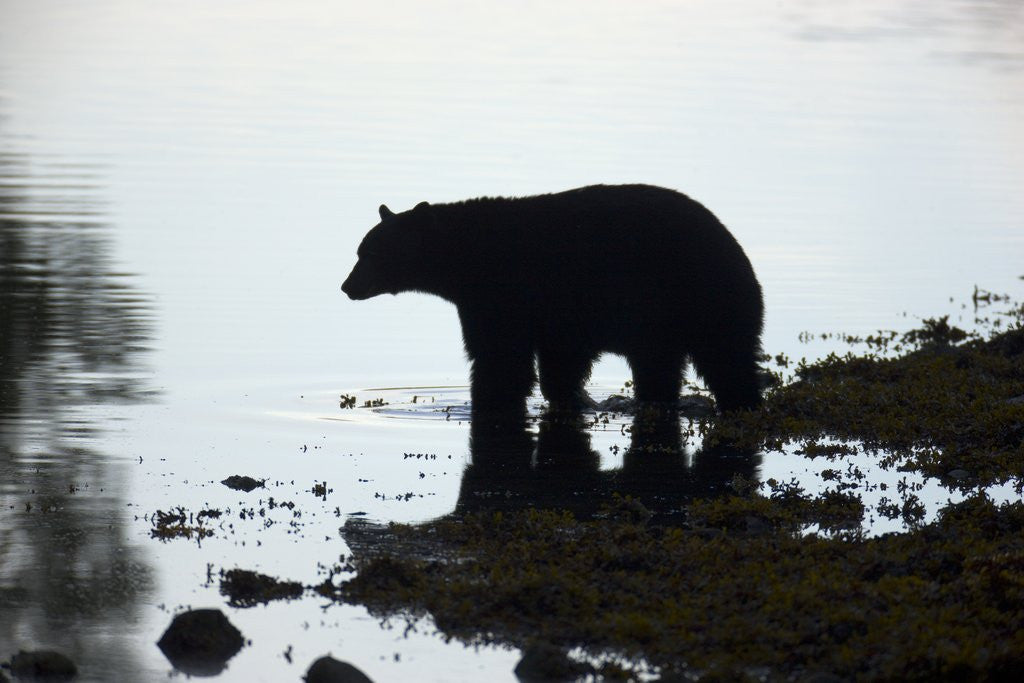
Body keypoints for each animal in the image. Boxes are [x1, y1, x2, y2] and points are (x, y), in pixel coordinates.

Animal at [341, 184, 763, 415]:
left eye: (371, 254)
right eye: (361, 250)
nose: (347, 286)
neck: (467, 258)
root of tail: (739, 252)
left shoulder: (503, 292)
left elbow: (499, 357)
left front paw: (489, 399)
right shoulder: (555, 316)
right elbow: (559, 363)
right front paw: (573, 397)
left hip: (700, 296)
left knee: (728, 360)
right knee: (662, 367)